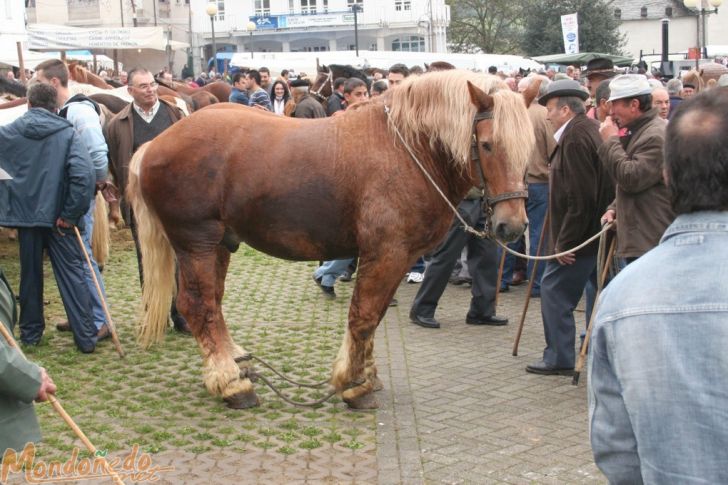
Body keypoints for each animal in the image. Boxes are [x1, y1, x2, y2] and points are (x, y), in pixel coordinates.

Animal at [125, 69, 536, 408]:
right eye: (488, 145)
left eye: (529, 146)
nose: (511, 226)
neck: (406, 149)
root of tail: (154, 145)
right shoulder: (386, 254)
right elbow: (364, 316)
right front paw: (354, 384)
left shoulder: (396, 258)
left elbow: (373, 317)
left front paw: (365, 375)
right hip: (197, 242)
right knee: (198, 306)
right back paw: (231, 384)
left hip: (220, 245)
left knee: (213, 301)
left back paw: (234, 365)